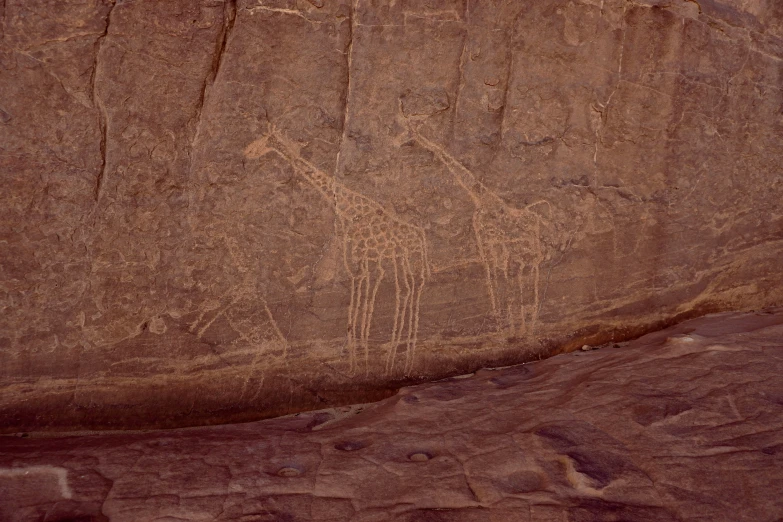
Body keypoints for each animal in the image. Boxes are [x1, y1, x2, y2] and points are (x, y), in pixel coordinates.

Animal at [251, 128, 432, 376]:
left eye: (265, 140)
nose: (247, 153)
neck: (349, 209)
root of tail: (420, 236)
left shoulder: (359, 257)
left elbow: (360, 301)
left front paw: (358, 364)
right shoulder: (365, 260)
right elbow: (363, 300)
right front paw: (360, 360)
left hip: (408, 257)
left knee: (410, 289)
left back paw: (400, 359)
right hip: (400, 258)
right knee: (407, 288)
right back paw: (400, 358)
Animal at [404, 120, 552, 336]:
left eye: (413, 134)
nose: (409, 140)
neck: (484, 198)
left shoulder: (497, 248)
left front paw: (509, 329)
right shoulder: (490, 248)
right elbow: (498, 287)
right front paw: (505, 327)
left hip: (527, 253)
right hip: (524, 254)